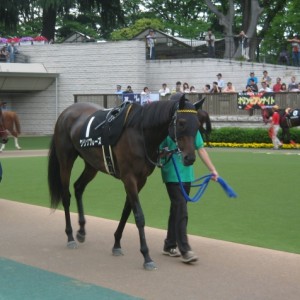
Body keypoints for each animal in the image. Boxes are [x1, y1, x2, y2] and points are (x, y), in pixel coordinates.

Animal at [48, 95, 200, 270]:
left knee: (78, 187)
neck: (140, 133)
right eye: (181, 122)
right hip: (65, 160)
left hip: (92, 164)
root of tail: (65, 113)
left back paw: (81, 231)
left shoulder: (141, 180)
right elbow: (139, 215)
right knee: (66, 196)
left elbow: (127, 211)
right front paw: (146, 256)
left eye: (198, 125)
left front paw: (116, 244)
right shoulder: (129, 178)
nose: (190, 158)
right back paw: (70, 236)